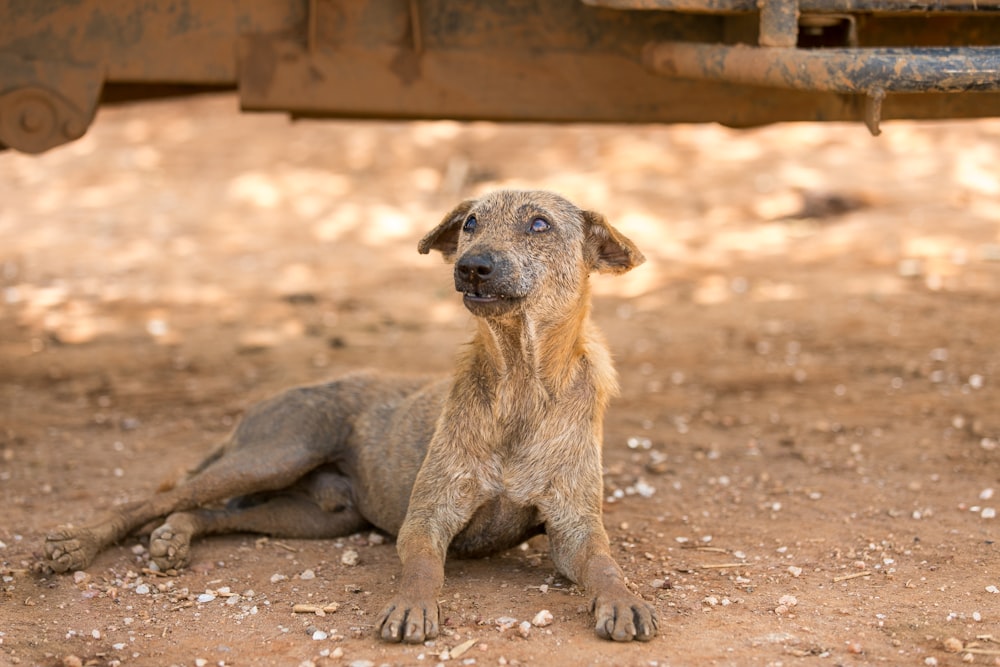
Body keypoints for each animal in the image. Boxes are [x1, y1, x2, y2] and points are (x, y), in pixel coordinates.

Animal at [45, 190, 656, 644]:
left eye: (539, 224)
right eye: (470, 224)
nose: (471, 266)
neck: (521, 385)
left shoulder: (574, 529)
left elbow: (605, 563)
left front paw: (624, 600)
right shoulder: (427, 518)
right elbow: (423, 567)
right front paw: (413, 607)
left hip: (317, 516)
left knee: (209, 512)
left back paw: (176, 535)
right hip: (275, 454)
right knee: (156, 499)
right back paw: (77, 544)